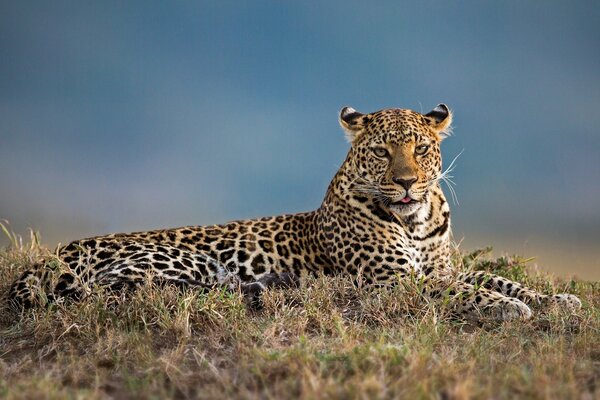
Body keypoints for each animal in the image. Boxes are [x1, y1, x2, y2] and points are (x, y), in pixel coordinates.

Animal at [8, 104, 580, 322]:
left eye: (419, 148)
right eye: (382, 152)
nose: (405, 182)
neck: (416, 223)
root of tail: (55, 254)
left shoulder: (441, 264)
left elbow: (489, 276)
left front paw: (555, 298)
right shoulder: (391, 280)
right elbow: (463, 290)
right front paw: (511, 308)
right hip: (183, 263)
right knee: (135, 293)